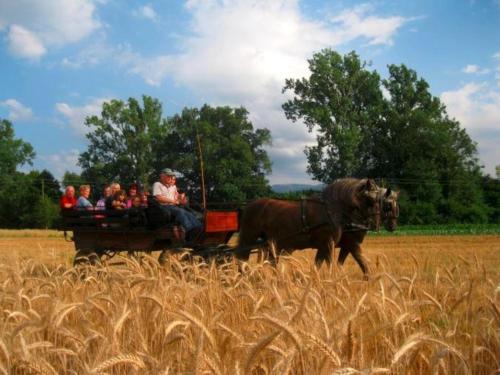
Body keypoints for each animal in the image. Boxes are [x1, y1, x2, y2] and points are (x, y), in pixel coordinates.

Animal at [234, 179, 382, 270]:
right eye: (370, 198)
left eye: (379, 199)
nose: (375, 223)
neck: (331, 209)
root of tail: (249, 205)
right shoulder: (328, 244)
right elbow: (330, 265)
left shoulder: (326, 246)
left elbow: (318, 265)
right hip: (249, 236)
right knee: (242, 258)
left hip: (269, 242)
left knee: (269, 262)